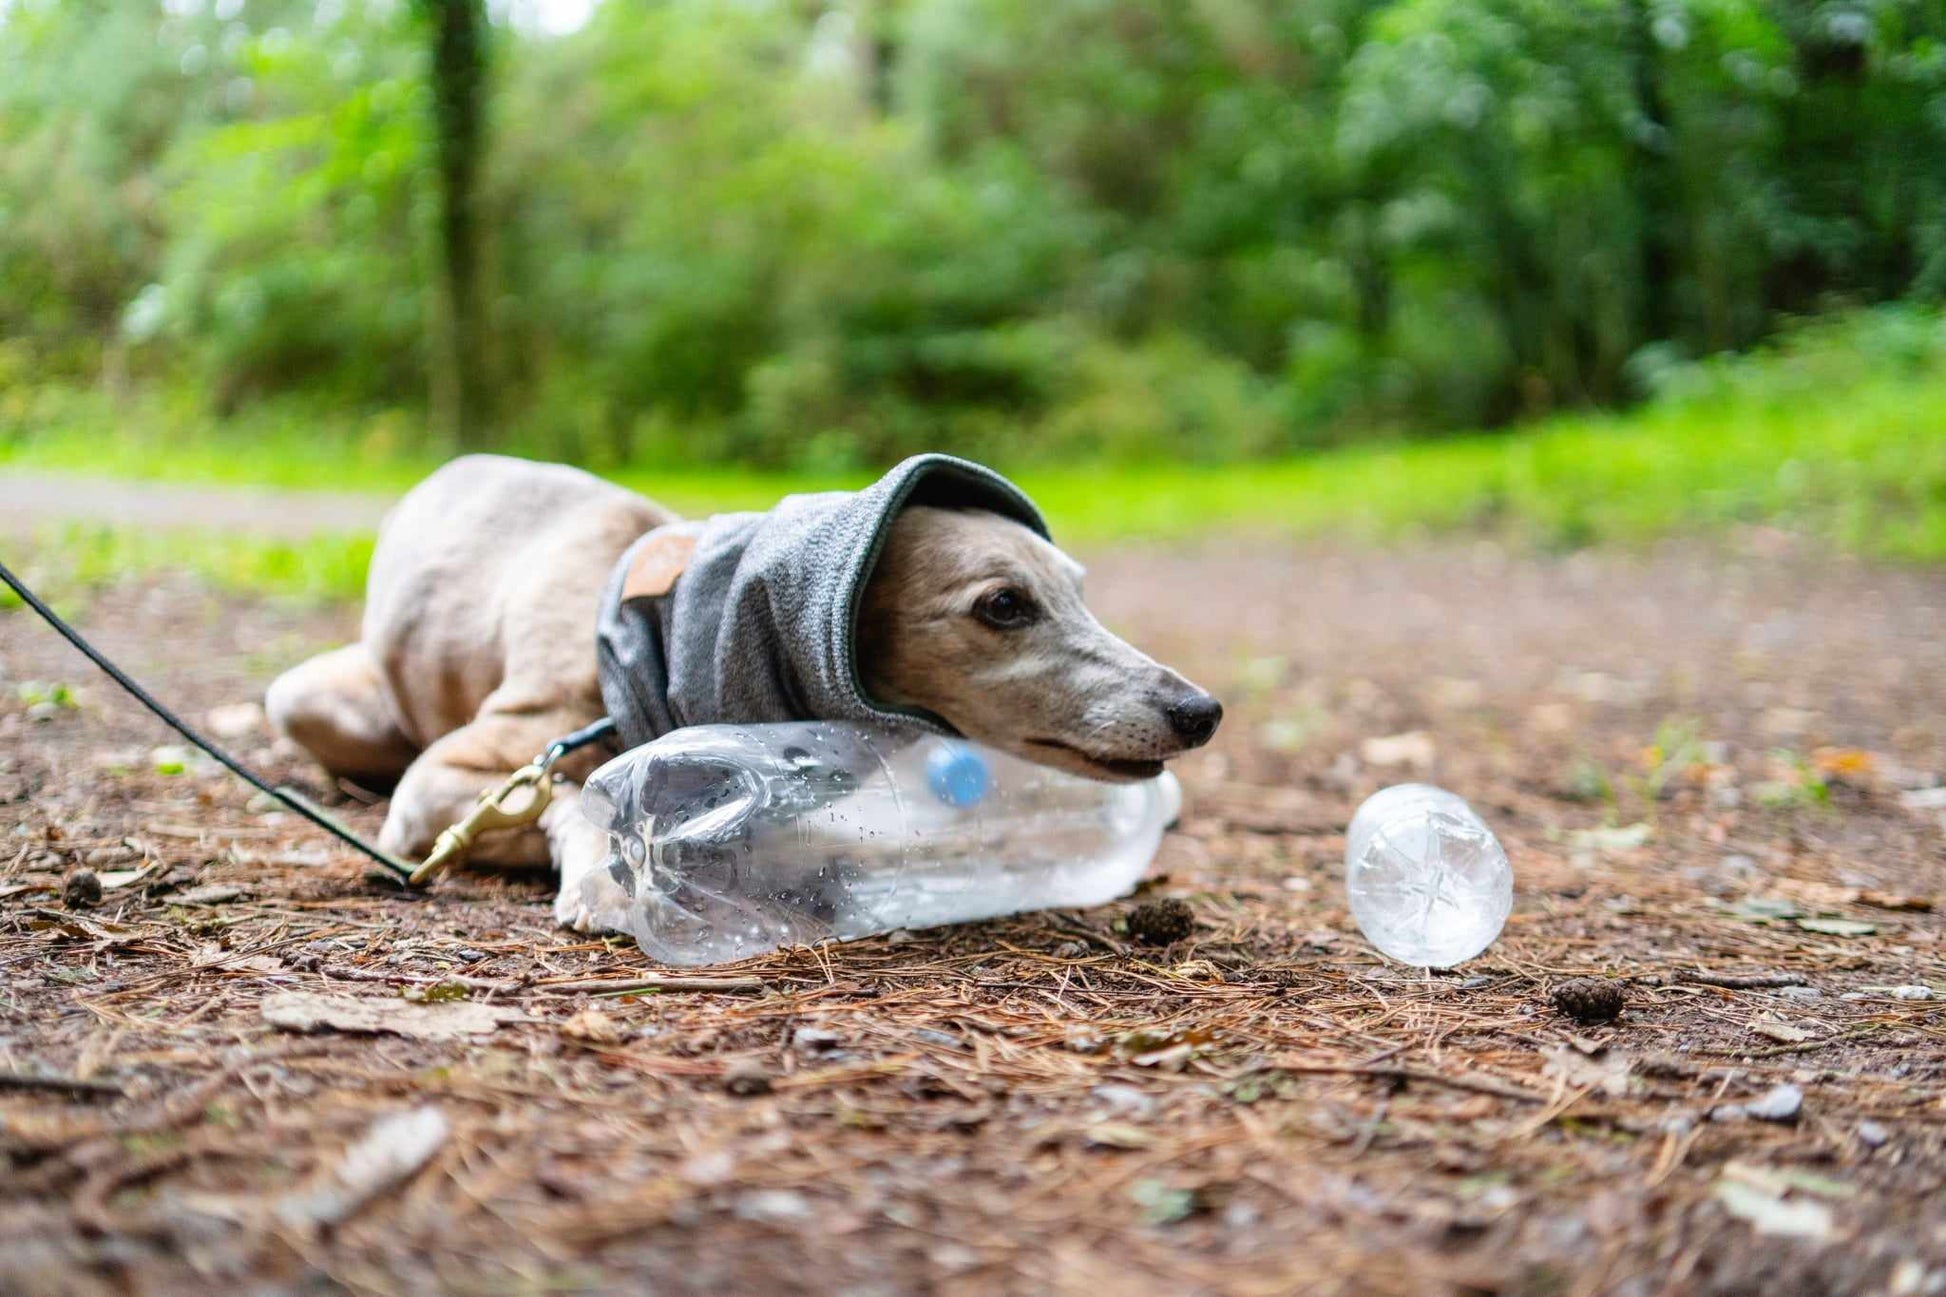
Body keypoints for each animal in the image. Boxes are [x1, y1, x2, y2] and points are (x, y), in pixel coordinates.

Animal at [266, 453, 1222, 930]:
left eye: (1080, 591)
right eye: (1003, 604)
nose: (1200, 711)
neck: (655, 645)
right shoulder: (449, 779)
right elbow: (565, 793)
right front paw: (610, 869)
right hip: (311, 699)